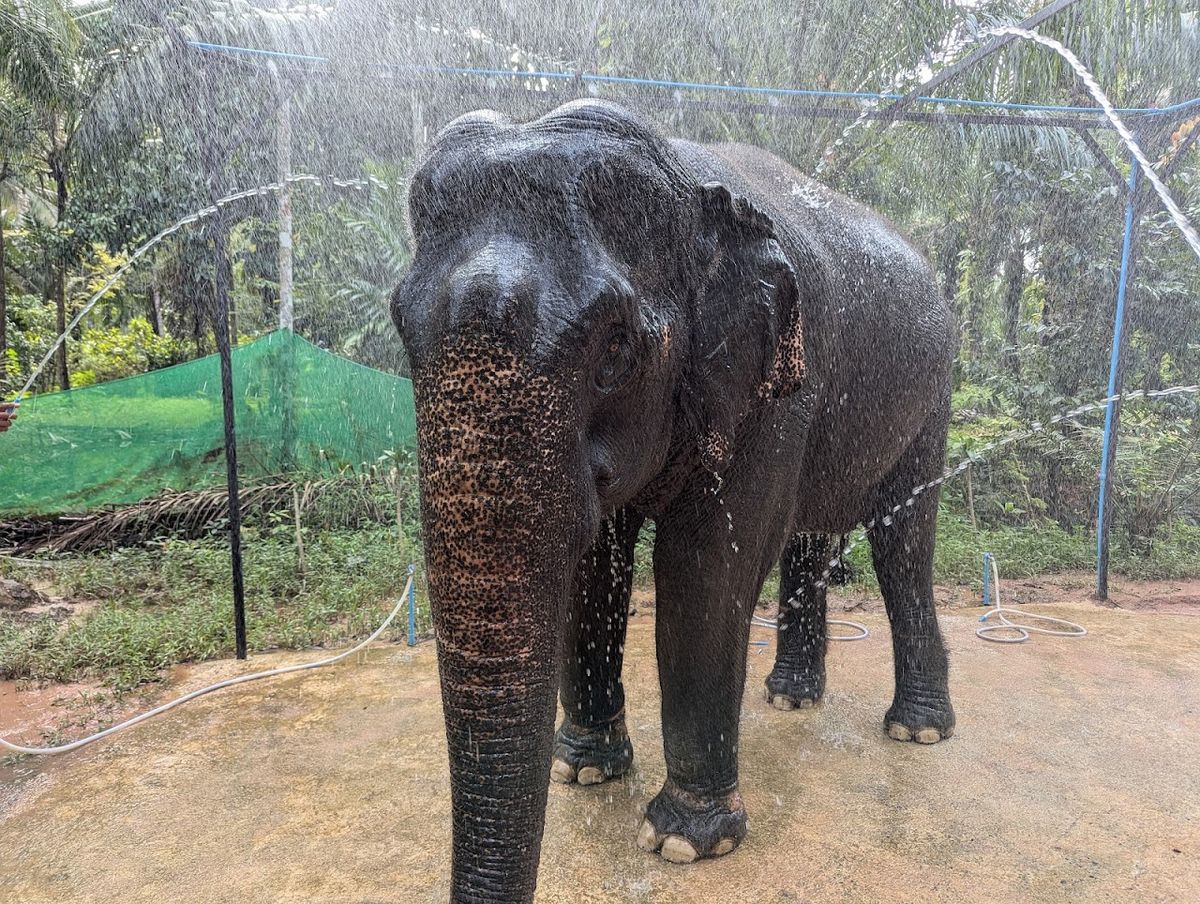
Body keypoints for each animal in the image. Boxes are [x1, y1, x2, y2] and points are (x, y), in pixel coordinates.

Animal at [390, 99, 956, 903]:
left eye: (618, 350)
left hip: (932, 393)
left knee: (904, 540)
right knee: (811, 535)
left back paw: (917, 730)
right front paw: (583, 769)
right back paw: (791, 697)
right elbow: (595, 565)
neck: (687, 180)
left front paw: (686, 841)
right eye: (401, 329)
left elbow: (708, 567)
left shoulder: (775, 388)